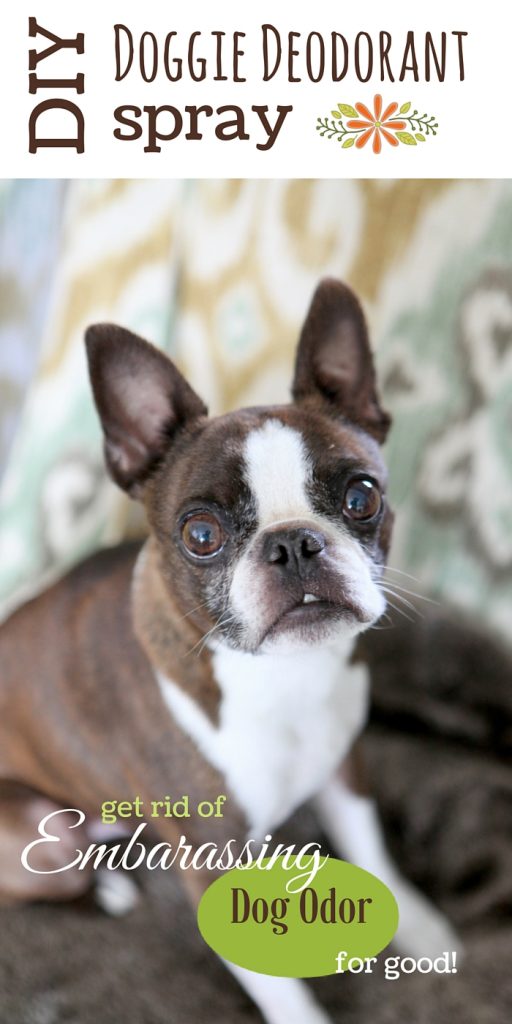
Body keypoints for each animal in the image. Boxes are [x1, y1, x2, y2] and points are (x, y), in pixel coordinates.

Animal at [0, 282, 458, 1024]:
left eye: (362, 496)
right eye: (202, 534)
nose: (294, 543)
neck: (282, 679)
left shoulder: (345, 767)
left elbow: (373, 852)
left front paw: (418, 926)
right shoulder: (213, 863)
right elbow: (282, 989)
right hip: (38, 833)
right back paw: (110, 888)